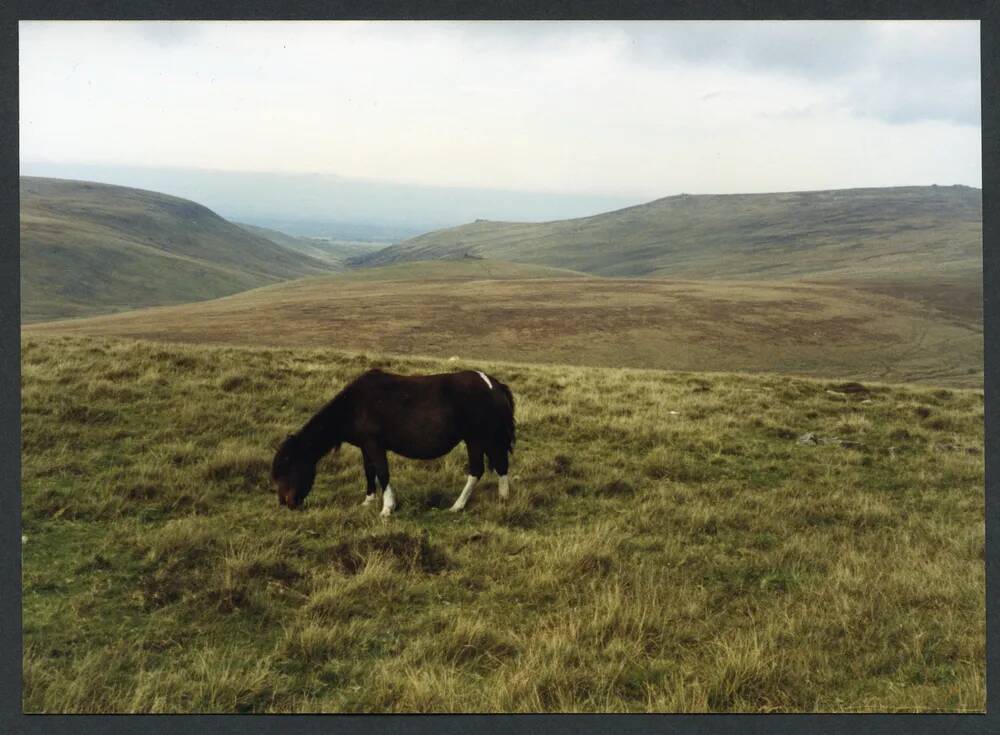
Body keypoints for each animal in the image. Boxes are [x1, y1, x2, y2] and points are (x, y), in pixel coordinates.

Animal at [270, 368, 516, 516]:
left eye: (288, 467)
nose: (285, 502)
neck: (354, 406)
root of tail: (494, 384)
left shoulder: (375, 445)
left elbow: (382, 472)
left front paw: (387, 508)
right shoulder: (366, 446)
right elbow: (369, 471)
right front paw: (368, 501)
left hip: (478, 438)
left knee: (478, 469)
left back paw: (458, 505)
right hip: (485, 439)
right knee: (500, 465)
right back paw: (502, 499)